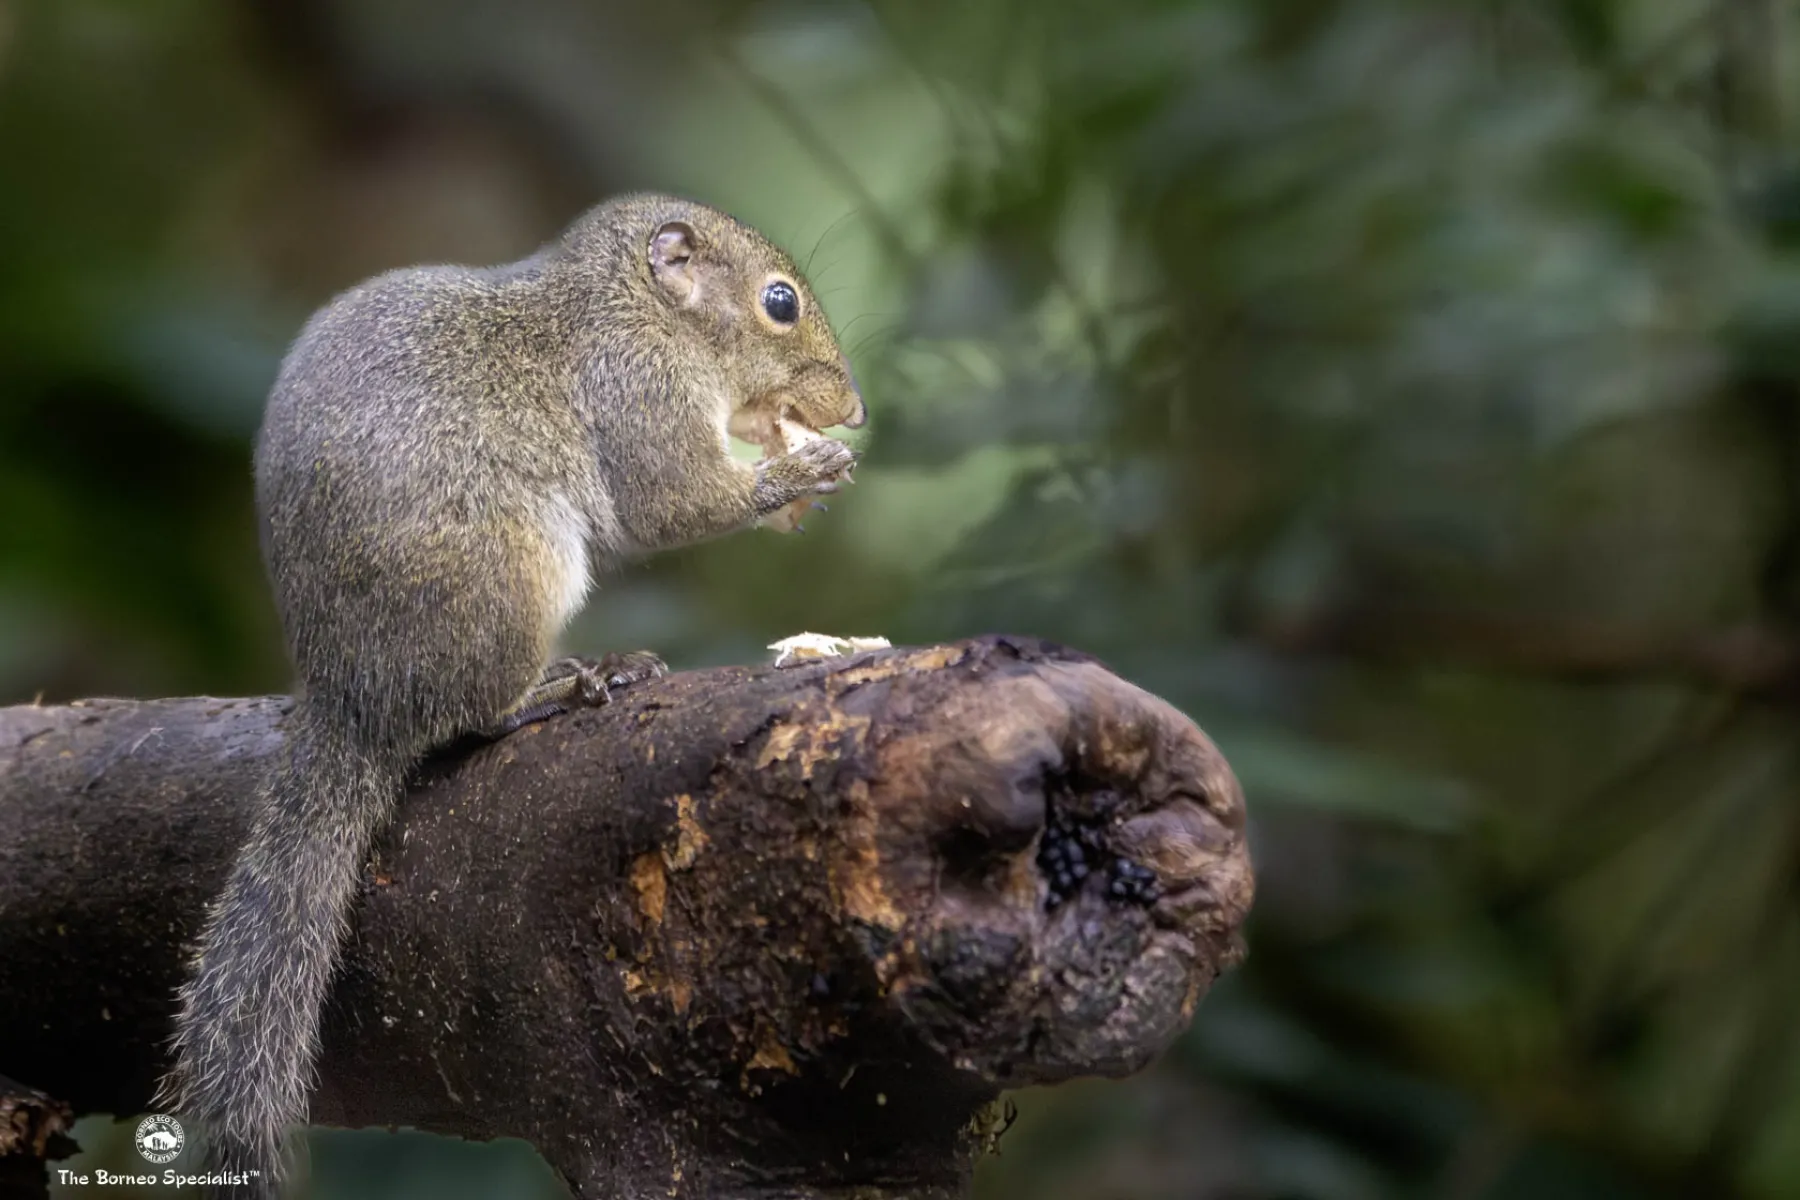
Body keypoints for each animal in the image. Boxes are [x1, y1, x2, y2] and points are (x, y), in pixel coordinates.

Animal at [158, 193, 865, 1195]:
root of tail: (354, 694)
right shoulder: (635, 390)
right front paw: (798, 472)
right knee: (469, 715)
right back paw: (563, 684)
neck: (633, 309)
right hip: (513, 577)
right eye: (779, 302)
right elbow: (673, 503)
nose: (854, 407)